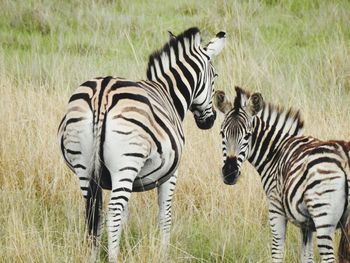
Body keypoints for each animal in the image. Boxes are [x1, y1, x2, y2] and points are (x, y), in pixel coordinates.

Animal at [56, 27, 227, 262]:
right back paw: (113, 259)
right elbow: (165, 214)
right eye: (215, 76)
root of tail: (102, 93)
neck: (168, 94)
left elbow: (124, 216)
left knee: (94, 212)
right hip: (126, 163)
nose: (209, 121)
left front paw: (126, 246)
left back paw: (93, 256)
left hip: (84, 165)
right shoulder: (171, 173)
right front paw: (163, 253)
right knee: (113, 211)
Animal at [213, 87, 350, 262]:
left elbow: (277, 250)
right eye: (222, 133)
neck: (276, 152)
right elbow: (307, 257)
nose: (230, 173)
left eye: (248, 135)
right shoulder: (306, 223)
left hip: (323, 216)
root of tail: (344, 157)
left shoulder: (275, 207)